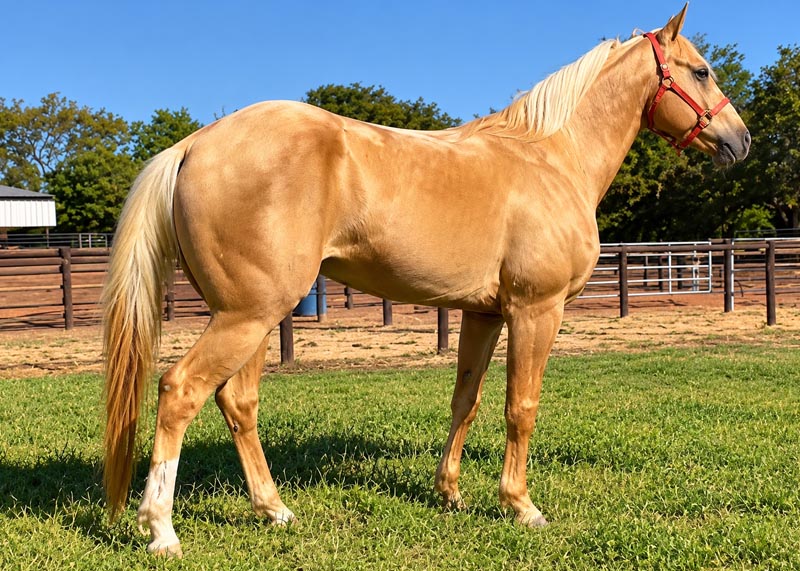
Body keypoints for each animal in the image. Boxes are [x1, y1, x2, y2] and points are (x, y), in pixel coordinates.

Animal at [102, 5, 749, 556]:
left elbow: (467, 400)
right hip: (247, 316)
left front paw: (451, 494)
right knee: (180, 391)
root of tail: (192, 145)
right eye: (701, 70)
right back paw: (161, 530)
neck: (551, 158)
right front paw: (521, 506)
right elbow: (521, 405)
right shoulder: (536, 310)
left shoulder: (484, 313)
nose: (740, 141)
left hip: (254, 316)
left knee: (237, 401)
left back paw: (274, 510)